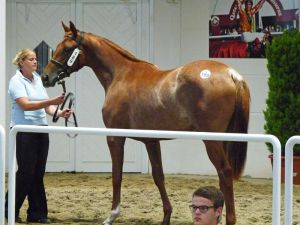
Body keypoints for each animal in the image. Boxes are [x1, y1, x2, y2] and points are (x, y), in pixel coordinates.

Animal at [41, 21, 250, 225]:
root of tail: (231, 74)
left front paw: (112, 215)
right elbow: (159, 177)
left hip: (212, 141)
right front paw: (166, 216)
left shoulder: (115, 138)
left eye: (67, 49)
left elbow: (117, 176)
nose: (45, 77)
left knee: (225, 172)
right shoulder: (151, 141)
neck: (120, 75)